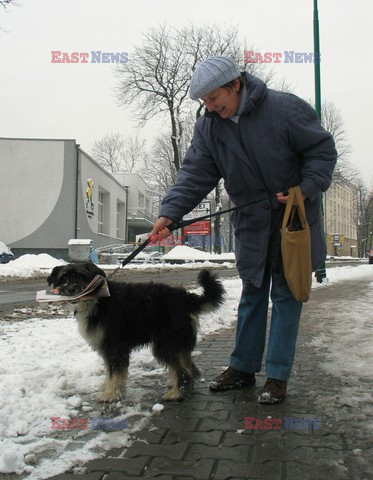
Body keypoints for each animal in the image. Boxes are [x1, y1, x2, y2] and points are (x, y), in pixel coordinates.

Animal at [48, 264, 225, 404]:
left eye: (81, 276)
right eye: (64, 277)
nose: (71, 289)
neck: (98, 300)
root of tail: (185, 297)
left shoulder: (115, 346)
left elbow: (116, 372)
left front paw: (111, 394)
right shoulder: (107, 348)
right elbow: (110, 371)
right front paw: (108, 387)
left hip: (166, 343)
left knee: (183, 370)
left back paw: (176, 393)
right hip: (177, 342)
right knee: (191, 367)